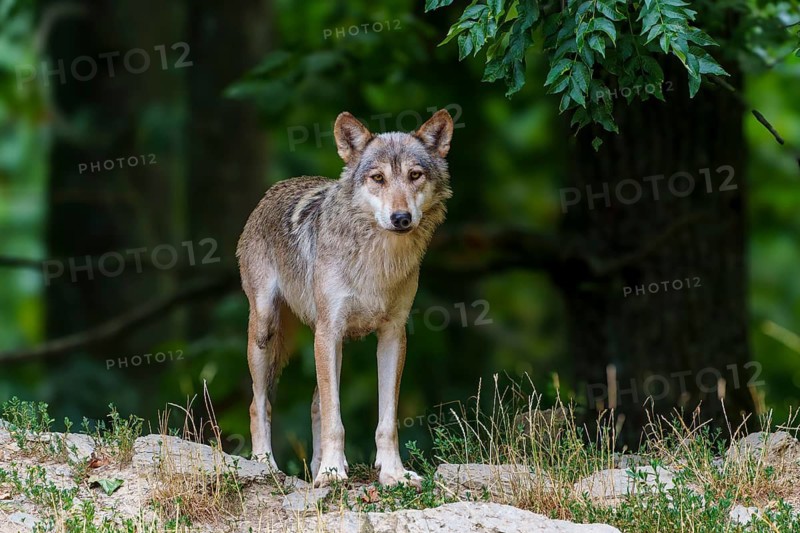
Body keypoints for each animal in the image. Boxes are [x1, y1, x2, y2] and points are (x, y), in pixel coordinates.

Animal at [236, 109, 454, 487]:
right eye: (378, 178)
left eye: (415, 175)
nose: (401, 218)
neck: (377, 261)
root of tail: (274, 189)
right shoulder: (330, 331)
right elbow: (335, 419)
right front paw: (333, 472)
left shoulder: (393, 335)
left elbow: (386, 420)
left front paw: (393, 473)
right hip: (268, 330)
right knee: (258, 403)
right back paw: (266, 465)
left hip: (333, 346)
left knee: (315, 403)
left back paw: (314, 468)